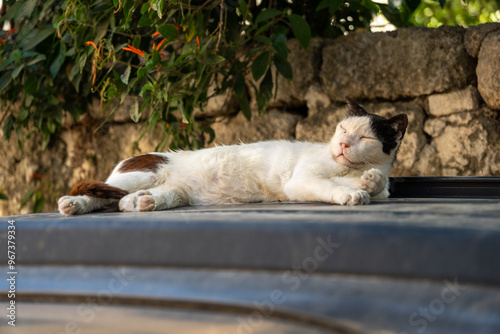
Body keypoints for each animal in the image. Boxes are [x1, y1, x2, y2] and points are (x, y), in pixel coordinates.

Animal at [58, 97, 408, 217]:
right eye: (342, 129)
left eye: (364, 138)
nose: (343, 145)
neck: (345, 168)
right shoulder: (300, 181)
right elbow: (329, 187)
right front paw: (351, 194)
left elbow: (381, 187)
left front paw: (369, 182)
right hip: (142, 174)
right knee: (98, 194)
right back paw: (72, 204)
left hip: (175, 192)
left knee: (118, 202)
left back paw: (142, 203)